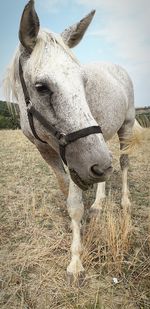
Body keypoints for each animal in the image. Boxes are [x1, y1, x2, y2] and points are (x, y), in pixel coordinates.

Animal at [3, 0, 142, 280]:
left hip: (126, 128)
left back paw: (125, 202)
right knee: (109, 166)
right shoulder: (50, 153)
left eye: (83, 81)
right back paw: (98, 203)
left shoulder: (76, 158)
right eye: (41, 87)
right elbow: (67, 192)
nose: (97, 165)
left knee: (122, 164)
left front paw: (76, 260)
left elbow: (75, 204)